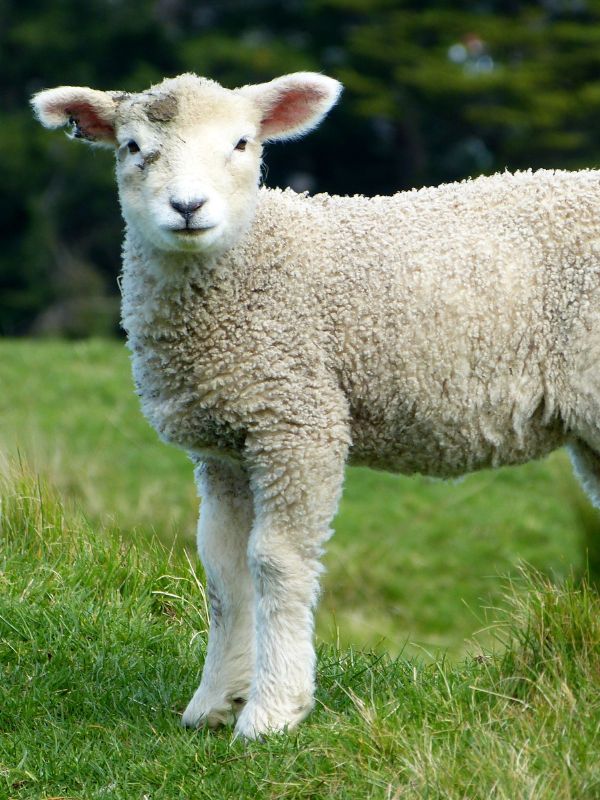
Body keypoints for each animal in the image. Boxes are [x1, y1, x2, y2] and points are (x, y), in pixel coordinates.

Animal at [32, 72, 600, 740]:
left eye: (242, 143)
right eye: (132, 147)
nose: (188, 207)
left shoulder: (296, 419)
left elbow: (274, 561)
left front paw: (272, 710)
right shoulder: (225, 443)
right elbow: (222, 569)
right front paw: (214, 702)